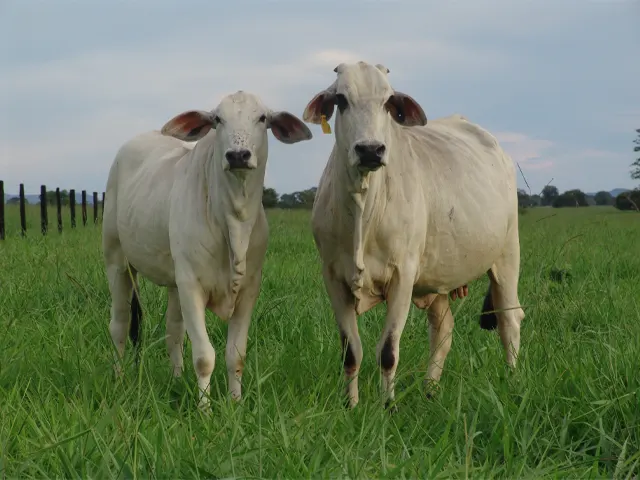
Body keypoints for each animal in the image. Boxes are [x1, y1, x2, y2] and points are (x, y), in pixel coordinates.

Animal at [102, 92, 312, 410]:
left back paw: (176, 380)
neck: (234, 222)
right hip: (117, 262)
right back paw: (119, 379)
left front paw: (235, 403)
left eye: (262, 118)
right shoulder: (192, 285)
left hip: (173, 281)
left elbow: (235, 355)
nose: (238, 155)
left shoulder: (248, 289)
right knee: (120, 324)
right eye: (217, 119)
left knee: (173, 332)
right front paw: (205, 410)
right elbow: (204, 356)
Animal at [304, 61, 524, 408]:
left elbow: (388, 352)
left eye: (387, 101)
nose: (370, 150)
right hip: (438, 278)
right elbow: (351, 352)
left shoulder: (402, 277)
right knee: (443, 331)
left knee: (510, 322)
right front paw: (351, 405)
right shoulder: (333, 277)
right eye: (341, 99)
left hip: (506, 256)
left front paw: (387, 406)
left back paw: (513, 382)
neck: (364, 208)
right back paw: (430, 390)